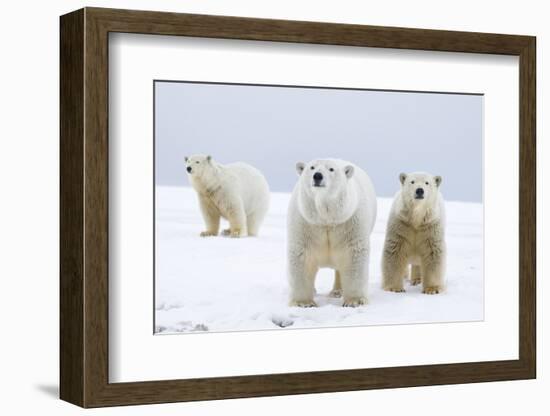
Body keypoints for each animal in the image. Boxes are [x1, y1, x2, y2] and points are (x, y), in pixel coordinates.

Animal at [286, 158, 378, 308]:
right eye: (312, 167)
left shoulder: (349, 221)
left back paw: (337, 291)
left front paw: (354, 301)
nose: (317, 176)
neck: (326, 220)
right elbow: (302, 255)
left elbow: (353, 255)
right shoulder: (306, 222)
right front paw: (304, 303)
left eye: (331, 169)